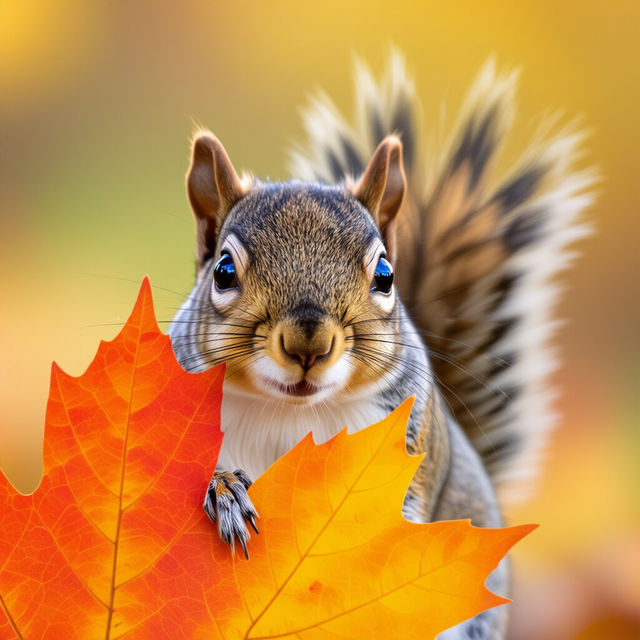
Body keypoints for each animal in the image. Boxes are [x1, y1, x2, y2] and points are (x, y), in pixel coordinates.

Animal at [169, 53, 594, 639]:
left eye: (386, 275)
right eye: (224, 270)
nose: (308, 343)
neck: (290, 414)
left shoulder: (411, 446)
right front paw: (225, 491)